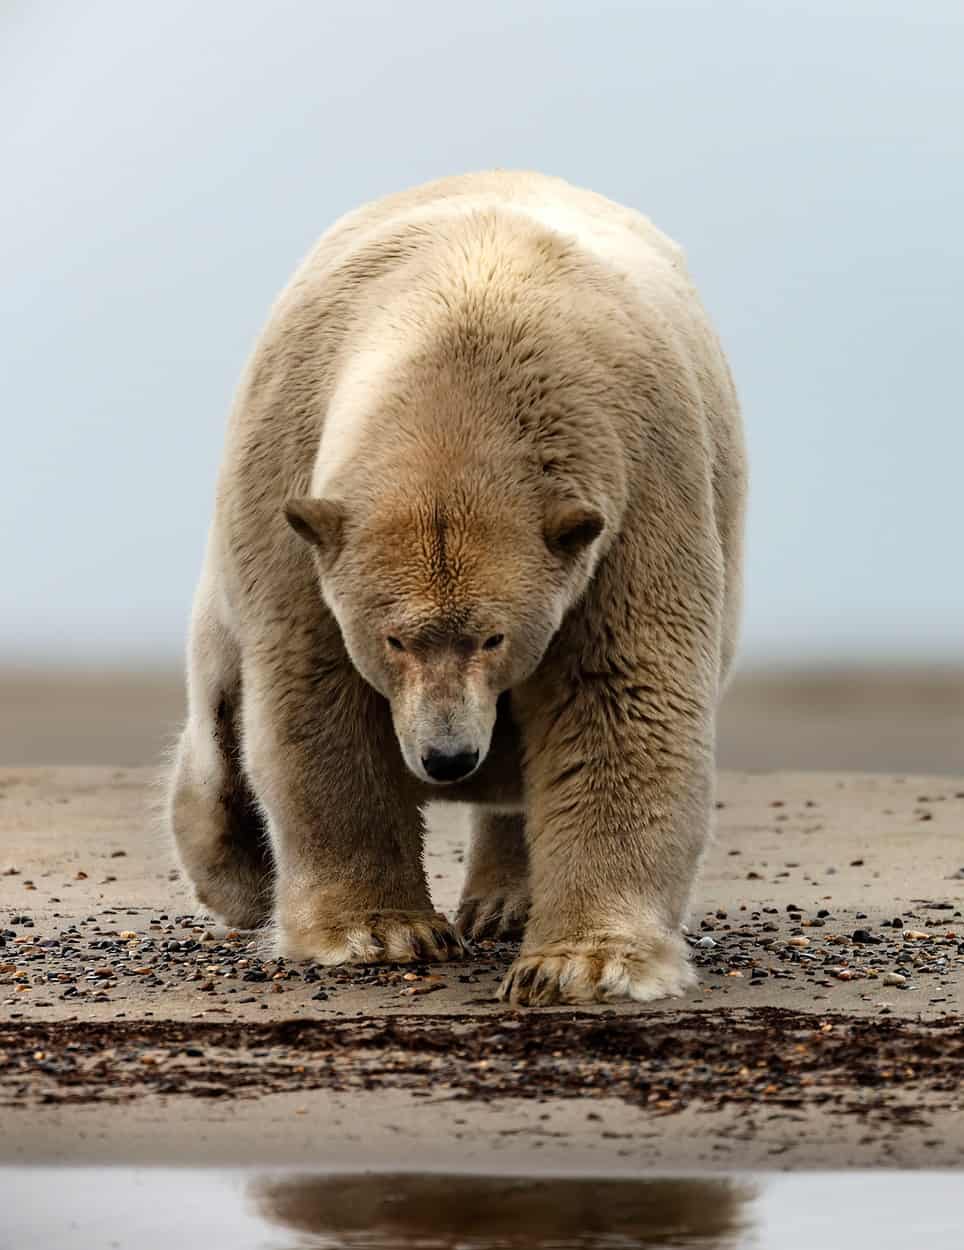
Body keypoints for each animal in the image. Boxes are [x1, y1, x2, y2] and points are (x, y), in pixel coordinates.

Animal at [170, 171, 750, 1005]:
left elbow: (617, 692)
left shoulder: (635, 498)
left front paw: (582, 963)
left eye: (493, 636)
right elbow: (319, 694)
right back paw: (234, 876)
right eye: (395, 638)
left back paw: (506, 902)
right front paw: (379, 931)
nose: (448, 757)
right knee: (220, 706)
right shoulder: (293, 483)